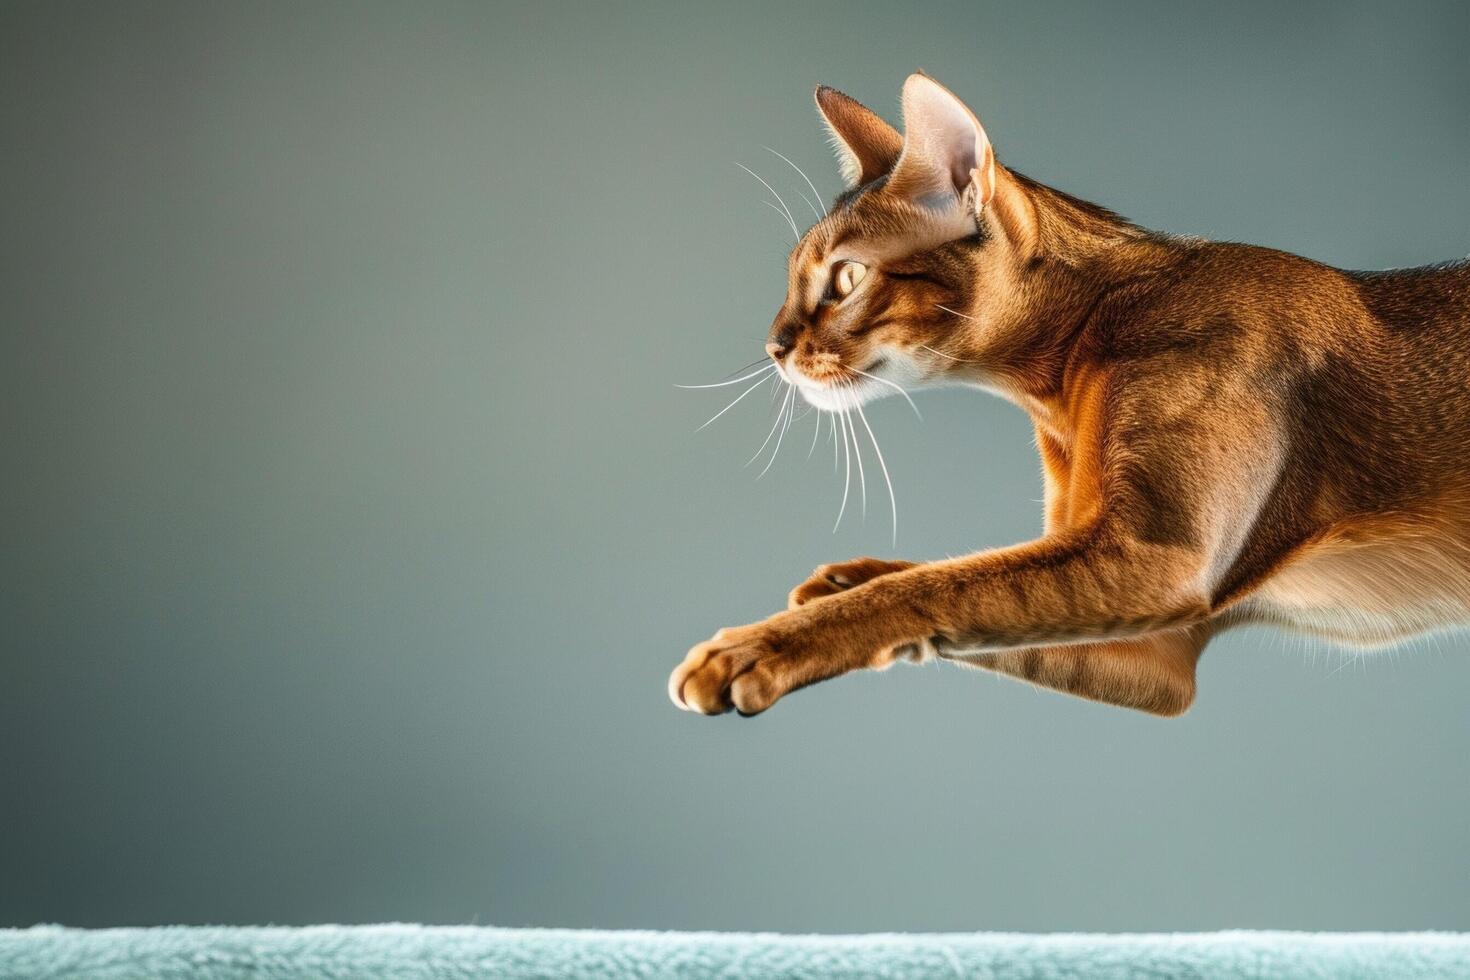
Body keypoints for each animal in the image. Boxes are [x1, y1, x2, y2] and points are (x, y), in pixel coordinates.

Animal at [670, 67, 1470, 714]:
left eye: (846, 277)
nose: (773, 348)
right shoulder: (1155, 653)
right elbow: (951, 582)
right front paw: (847, 580)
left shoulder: (1156, 560)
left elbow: (938, 586)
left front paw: (758, 647)